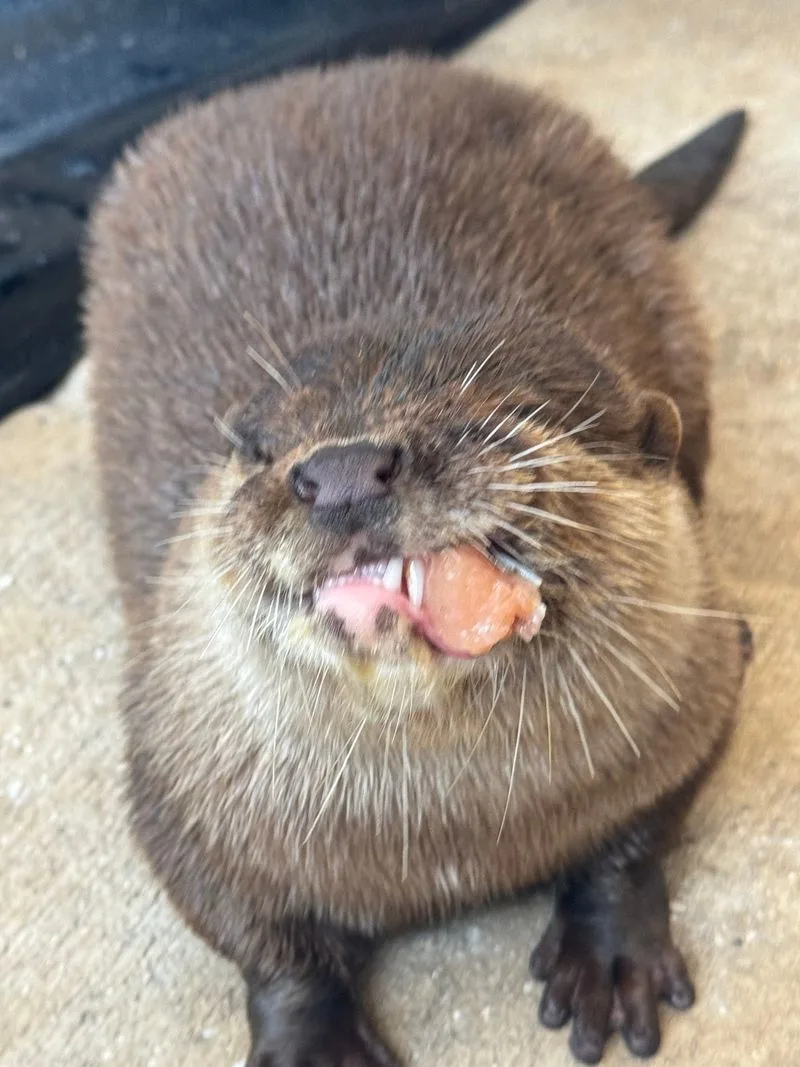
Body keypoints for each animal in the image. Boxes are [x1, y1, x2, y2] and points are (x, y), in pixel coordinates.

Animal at [86, 56, 750, 1066]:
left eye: (498, 415)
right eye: (264, 450)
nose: (340, 468)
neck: (447, 837)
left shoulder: (704, 669)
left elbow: (643, 827)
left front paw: (608, 945)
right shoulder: (175, 785)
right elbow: (260, 939)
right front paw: (314, 1037)